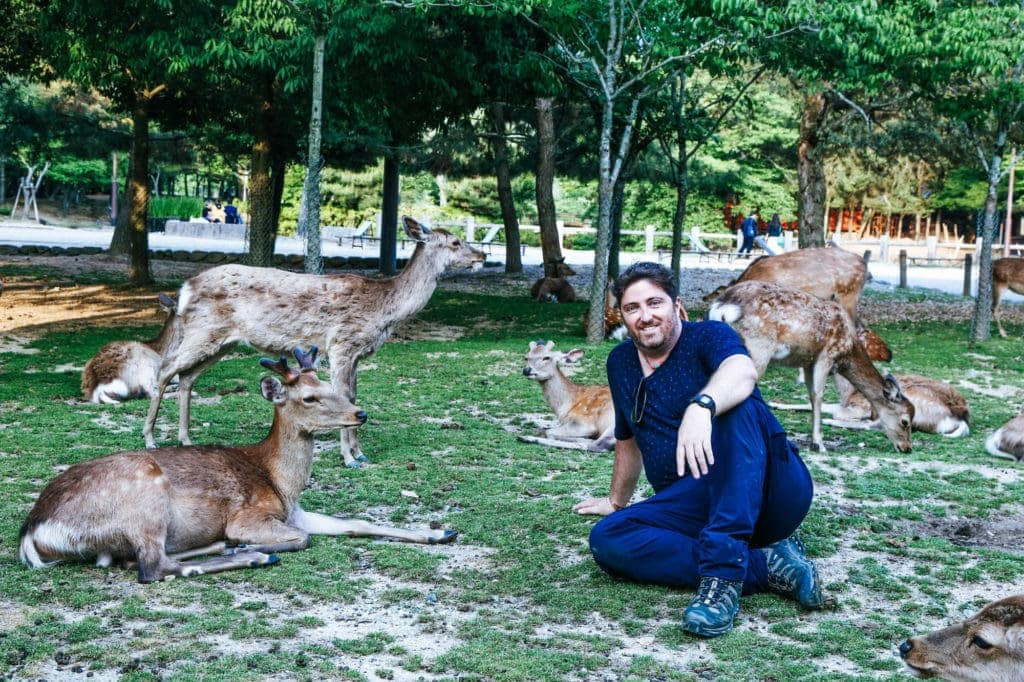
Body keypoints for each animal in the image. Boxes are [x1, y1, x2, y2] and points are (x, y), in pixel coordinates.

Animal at [20, 348, 457, 584]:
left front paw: (440, 532)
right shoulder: (249, 515)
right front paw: (252, 544)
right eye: (310, 398)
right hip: (144, 497)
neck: (281, 482)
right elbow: (304, 538)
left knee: (134, 559)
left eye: (330, 386)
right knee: (151, 566)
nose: (359, 413)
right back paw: (252, 554)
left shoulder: (296, 512)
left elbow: (358, 523)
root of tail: (32, 532)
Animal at [142, 216, 485, 466]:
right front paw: (349, 457)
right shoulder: (342, 343)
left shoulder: (357, 353)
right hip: (204, 331)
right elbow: (345, 394)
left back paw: (186, 439)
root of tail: (184, 290)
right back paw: (150, 438)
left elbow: (354, 395)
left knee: (187, 377)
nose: (481, 255)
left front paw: (360, 452)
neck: (383, 310)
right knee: (166, 368)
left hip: (222, 341)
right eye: (455, 241)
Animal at [708, 280, 914, 453]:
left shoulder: (807, 362)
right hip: (758, 348)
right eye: (905, 421)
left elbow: (810, 394)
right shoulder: (827, 356)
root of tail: (723, 307)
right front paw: (818, 443)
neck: (848, 351)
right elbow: (818, 394)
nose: (907, 448)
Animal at [771, 373, 970, 438]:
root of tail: (962, 419)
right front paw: (773, 403)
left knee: (875, 425)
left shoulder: (860, 406)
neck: (849, 391)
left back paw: (828, 422)